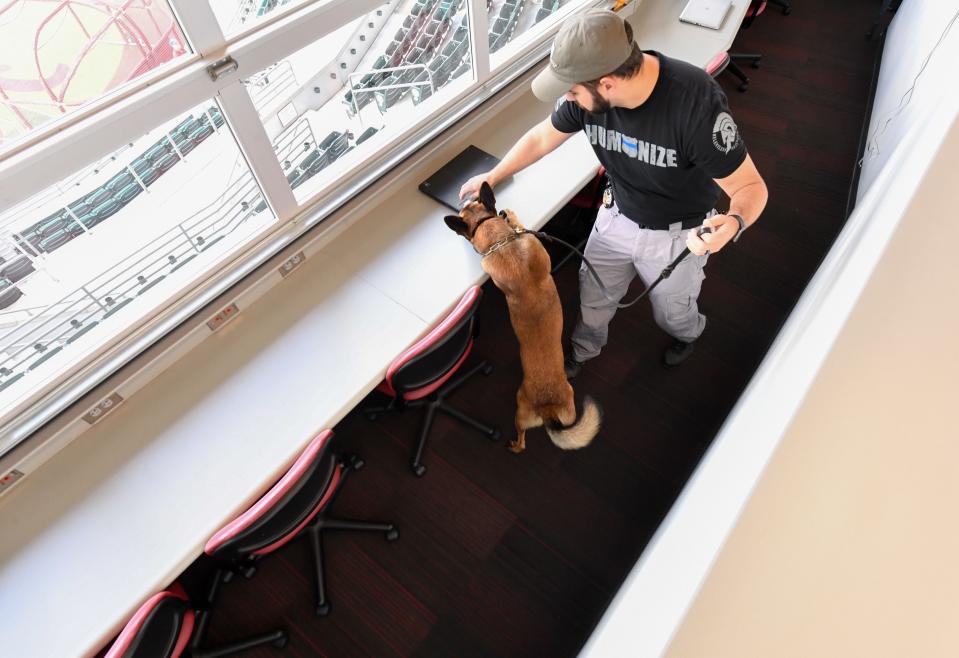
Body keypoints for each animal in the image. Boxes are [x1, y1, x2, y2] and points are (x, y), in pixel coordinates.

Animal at [444, 182, 600, 454]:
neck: (502, 241)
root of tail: (548, 409)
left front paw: (511, 218)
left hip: (520, 410)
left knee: (522, 440)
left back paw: (514, 446)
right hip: (569, 408)